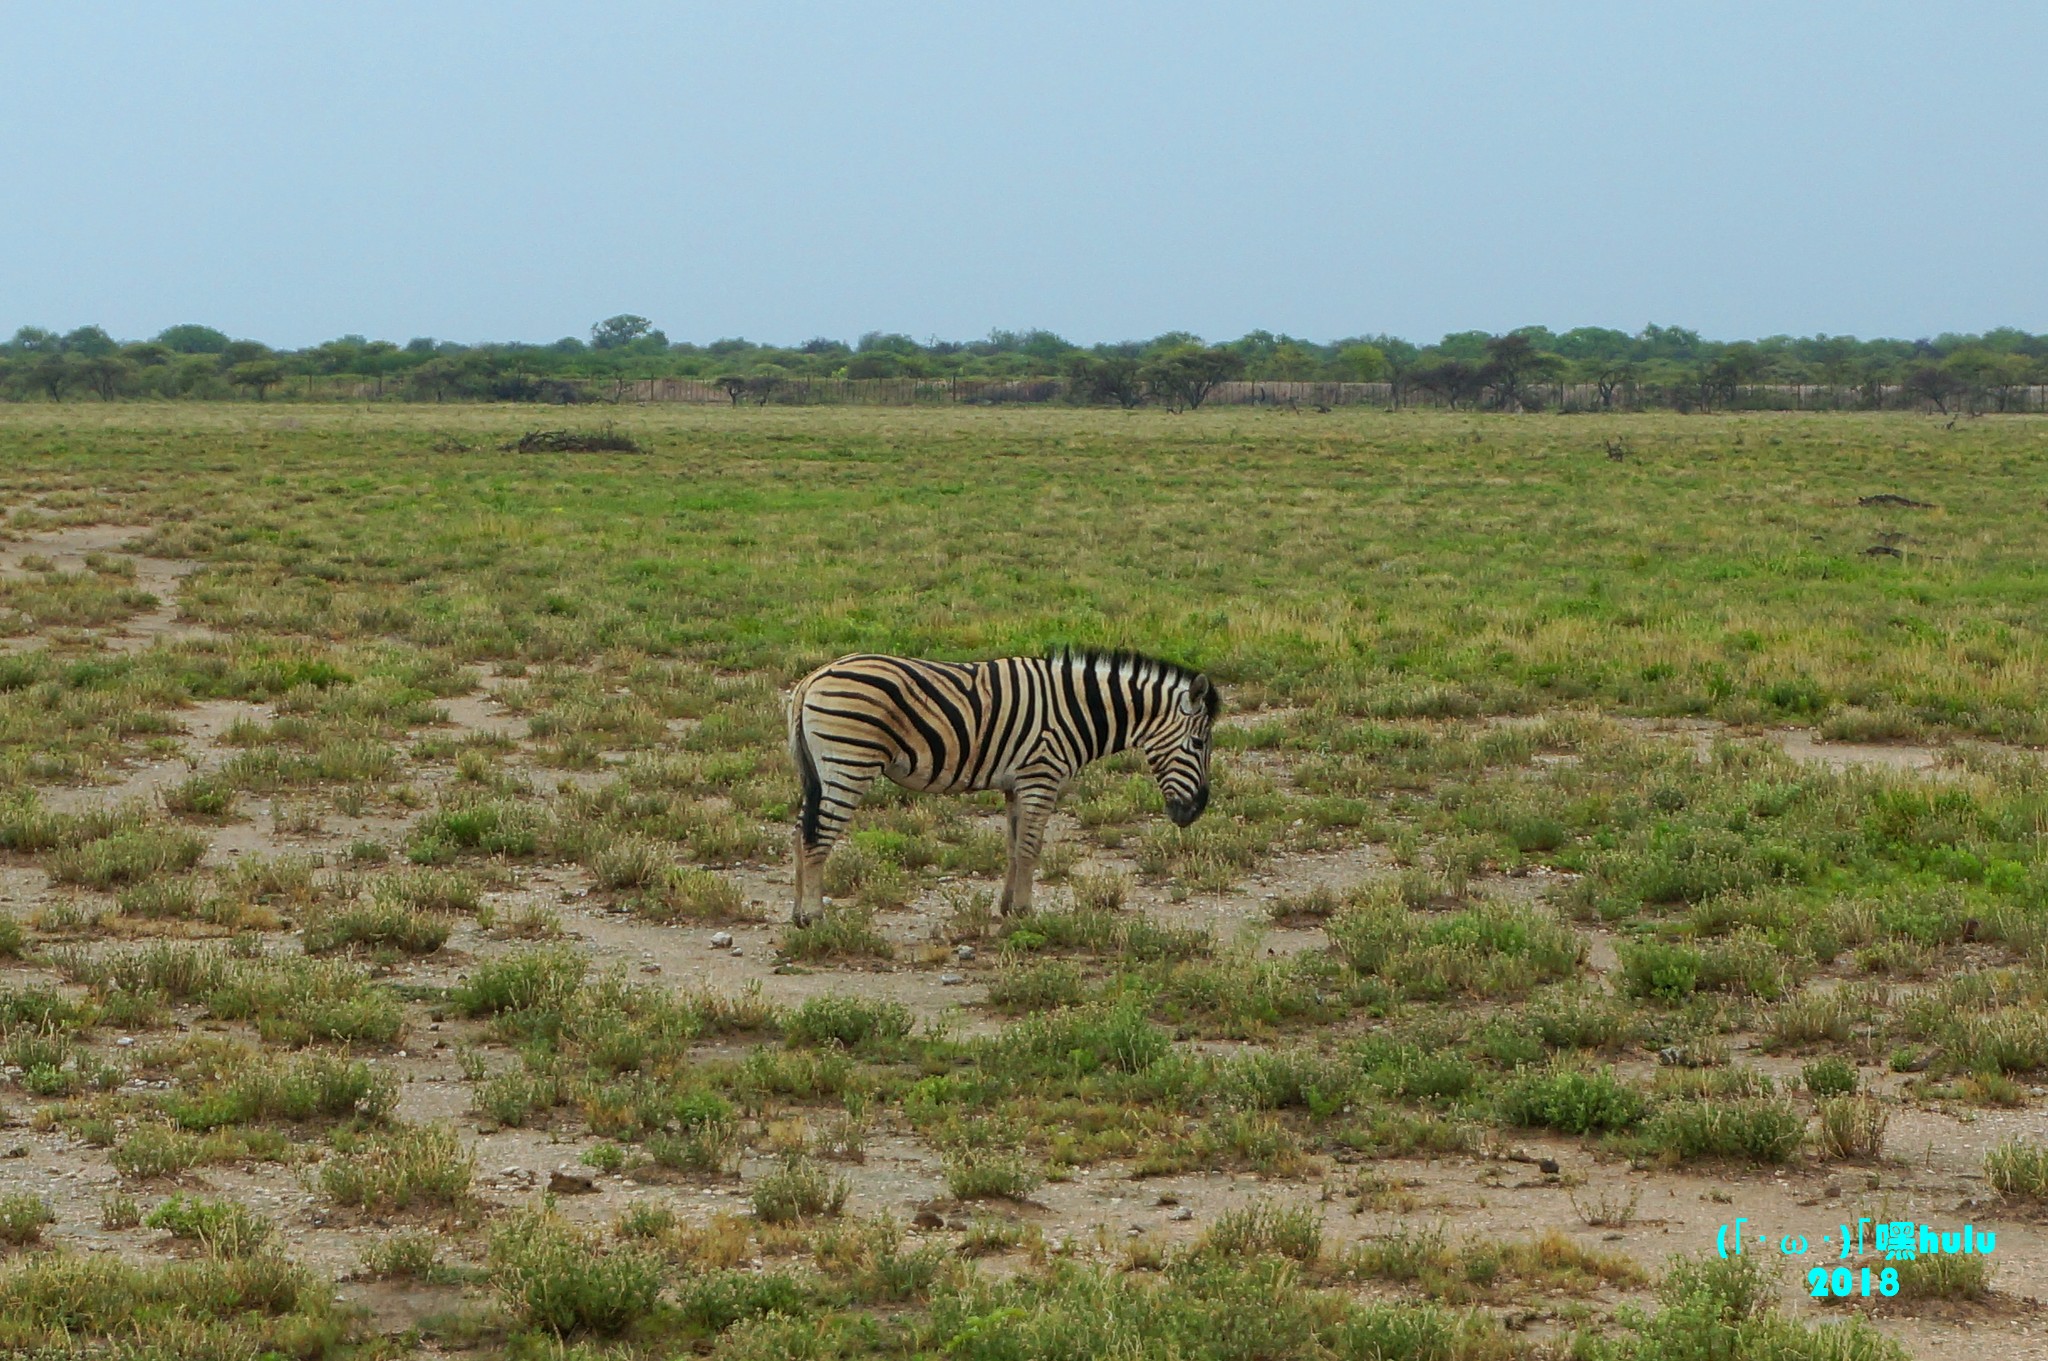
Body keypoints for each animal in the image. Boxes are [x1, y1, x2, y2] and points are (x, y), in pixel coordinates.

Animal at [786, 646, 1212, 925]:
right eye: (1199, 743)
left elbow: (1013, 846)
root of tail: (812, 679)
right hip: (850, 761)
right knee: (819, 835)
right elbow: (1030, 849)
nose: (1195, 811)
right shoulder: (1041, 776)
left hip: (817, 770)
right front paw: (1024, 913)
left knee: (800, 831)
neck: (1079, 710)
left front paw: (1007, 907)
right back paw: (813, 916)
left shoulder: (1016, 784)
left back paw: (796, 911)